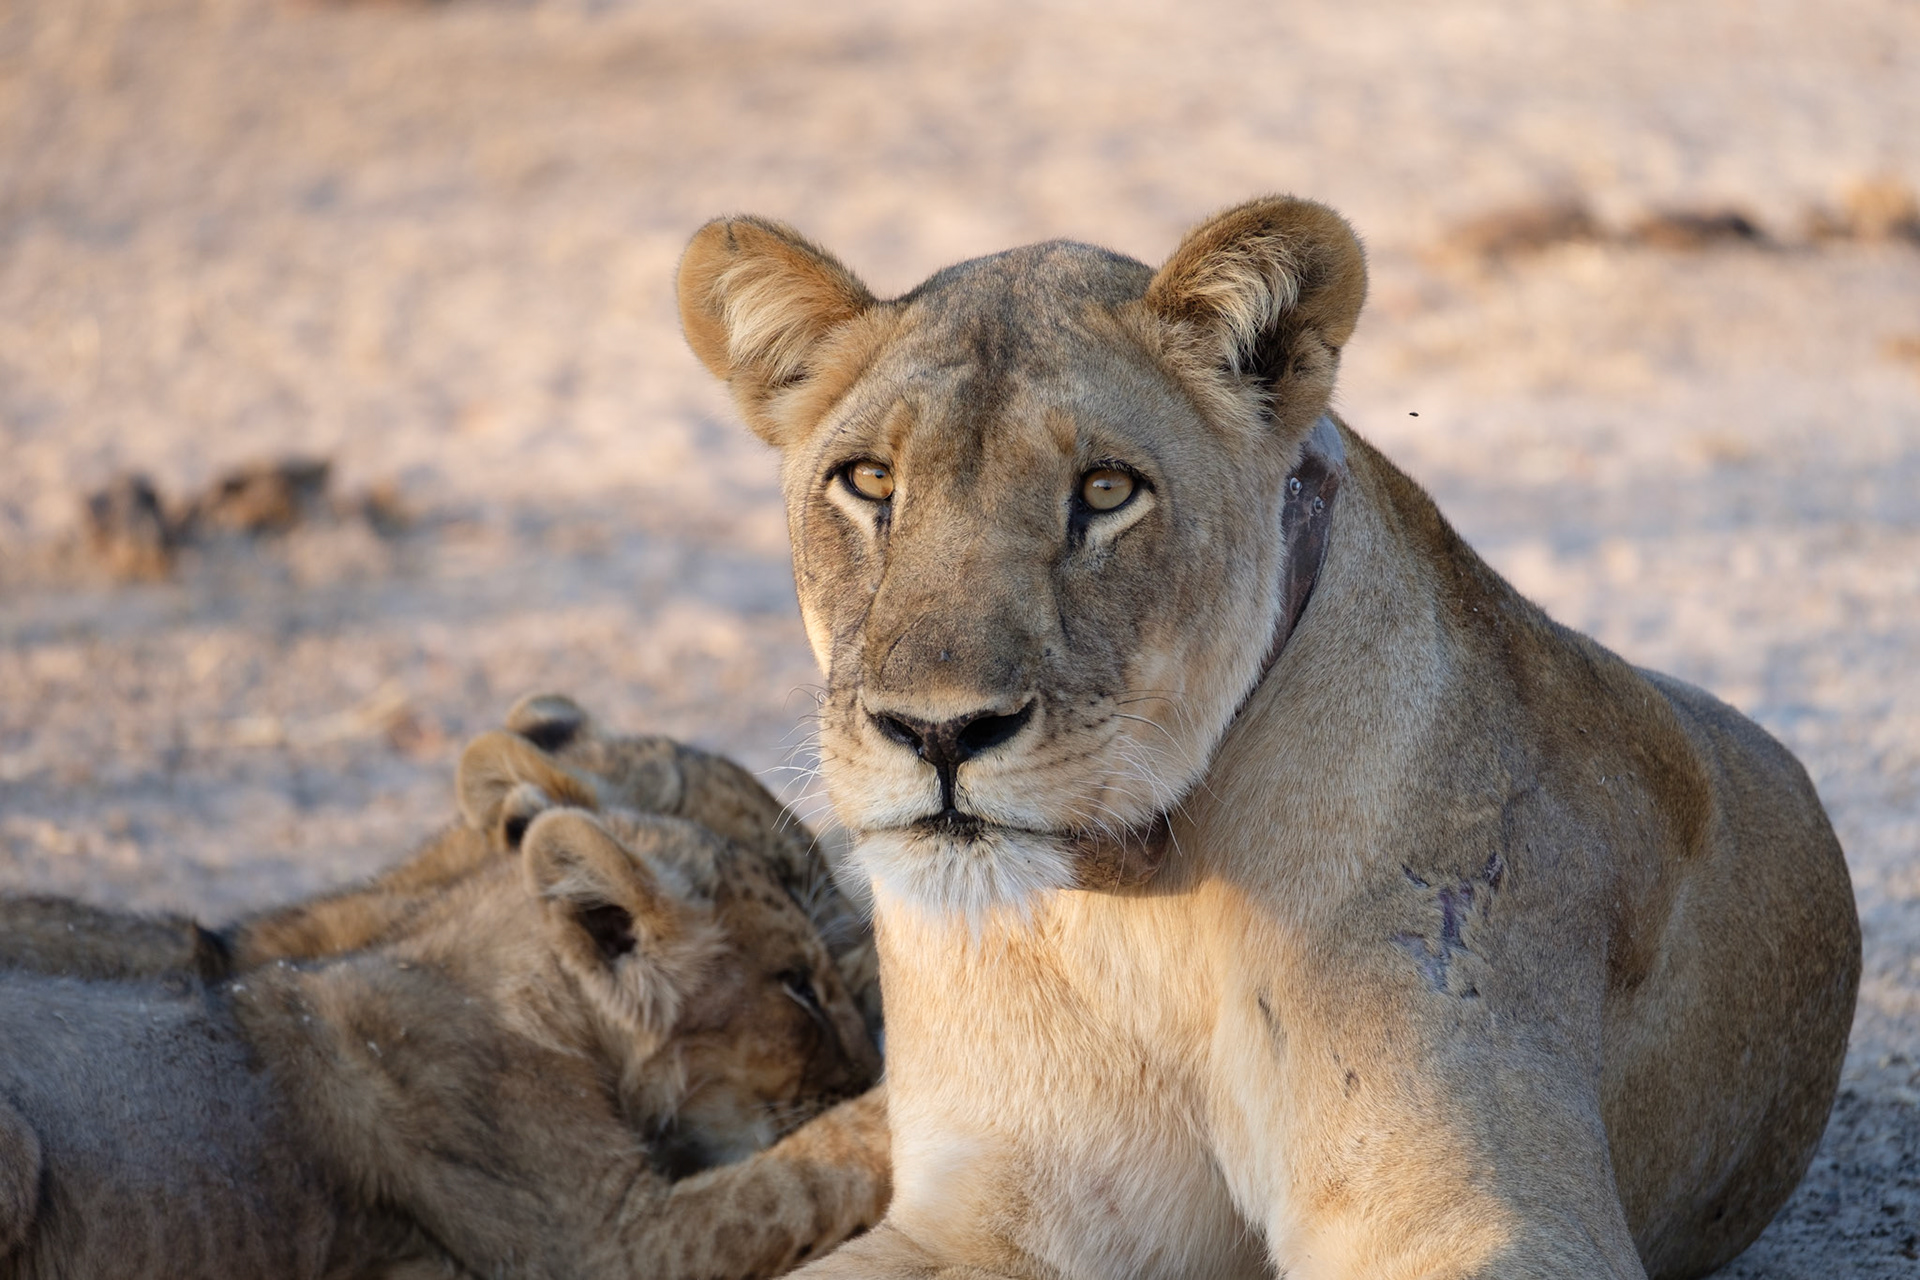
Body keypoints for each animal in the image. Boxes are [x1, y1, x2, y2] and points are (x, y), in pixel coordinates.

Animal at [674, 196, 1861, 1279]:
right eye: (871, 481)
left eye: (1106, 489)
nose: (941, 730)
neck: (1138, 904)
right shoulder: (990, 1209)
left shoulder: (1477, 1207)